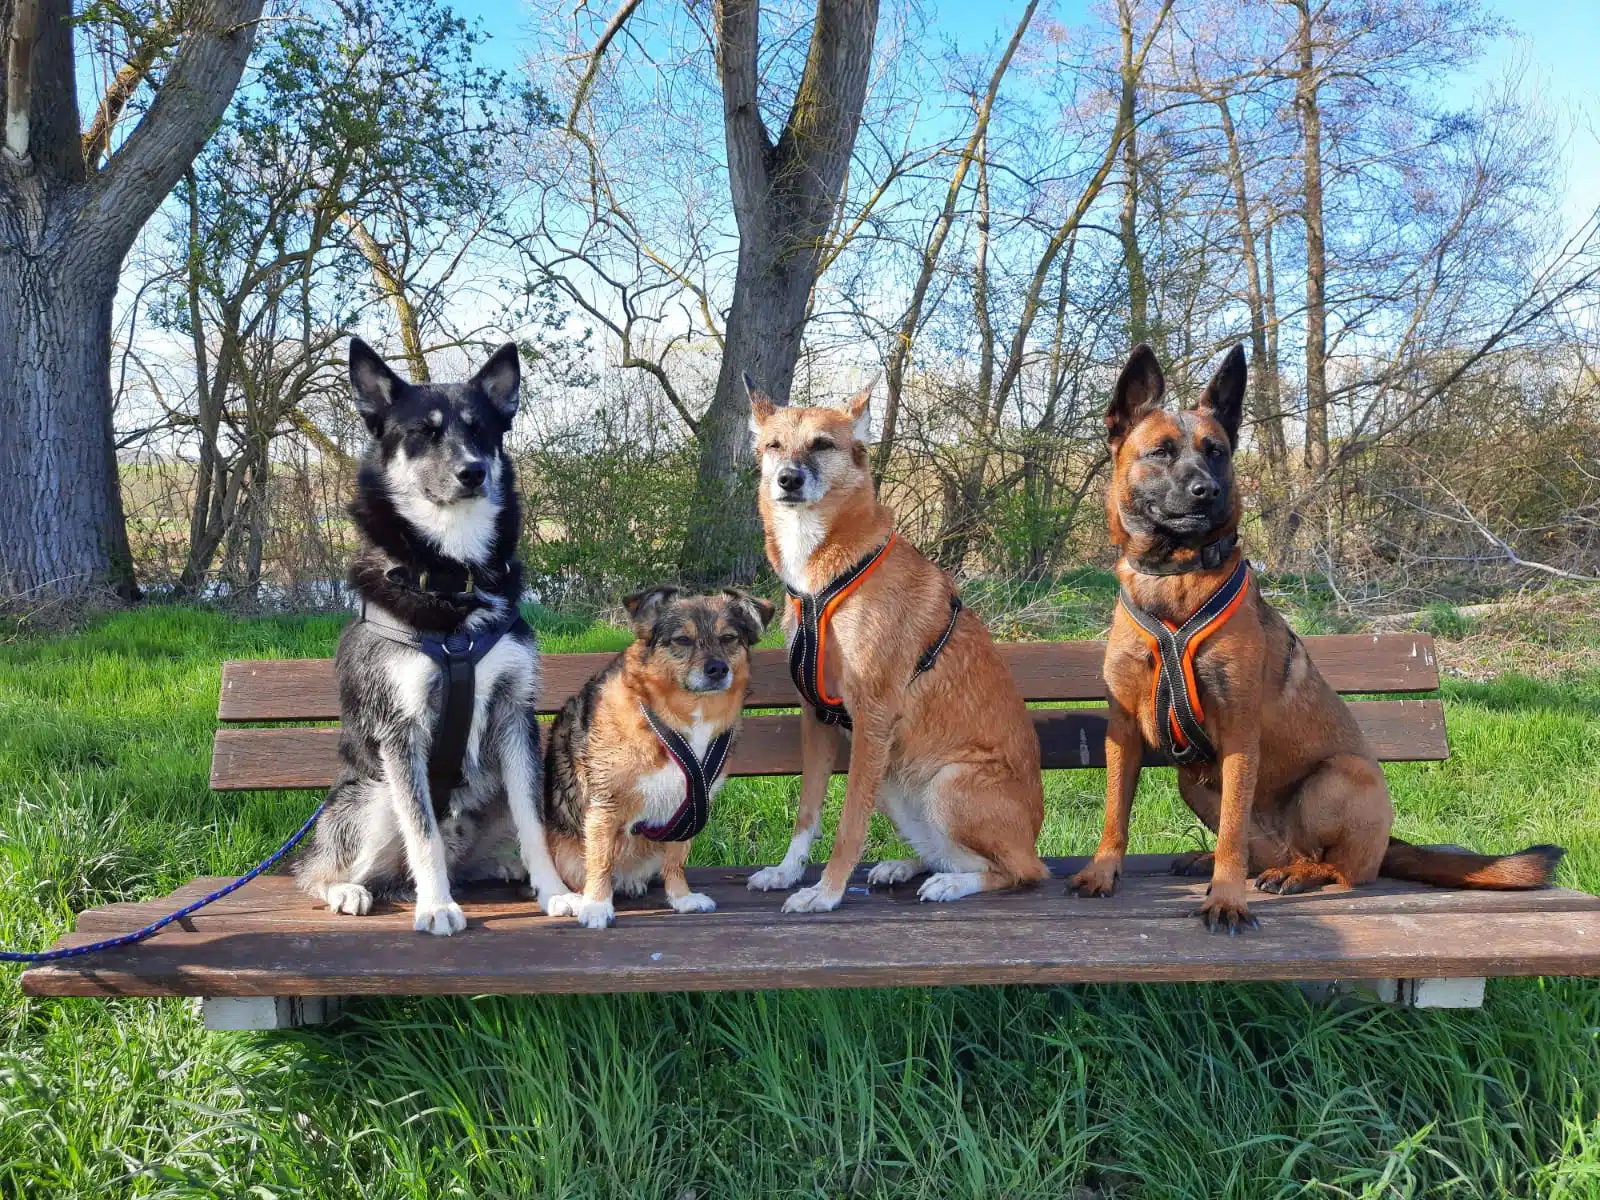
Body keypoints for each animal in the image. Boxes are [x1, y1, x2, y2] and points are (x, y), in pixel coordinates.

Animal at [294, 339, 576, 940]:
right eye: (423, 432)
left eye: (481, 430)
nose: (473, 472)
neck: (453, 578)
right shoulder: (400, 731)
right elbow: (422, 831)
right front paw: (437, 906)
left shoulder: (515, 714)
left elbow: (535, 823)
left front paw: (555, 890)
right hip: (374, 792)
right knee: (320, 869)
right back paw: (348, 889)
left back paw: (502, 867)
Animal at [540, 588, 771, 934]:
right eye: (682, 640)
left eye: (729, 637)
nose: (717, 669)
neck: (681, 718)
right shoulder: (604, 806)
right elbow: (600, 861)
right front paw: (597, 905)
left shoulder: (690, 807)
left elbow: (676, 859)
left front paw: (681, 898)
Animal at [745, 376, 1049, 908]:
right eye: (773, 446)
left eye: (822, 445)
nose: (787, 480)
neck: (821, 576)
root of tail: (1032, 834)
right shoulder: (816, 719)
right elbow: (807, 812)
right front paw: (787, 872)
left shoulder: (871, 717)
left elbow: (849, 825)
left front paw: (826, 892)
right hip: (894, 783)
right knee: (951, 853)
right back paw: (906, 866)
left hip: (947, 783)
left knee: (1019, 870)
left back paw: (952, 883)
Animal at [1062, 342, 1561, 934]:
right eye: (1160, 452)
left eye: (1217, 452)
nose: (1208, 491)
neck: (1174, 580)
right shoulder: (1124, 732)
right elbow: (1116, 812)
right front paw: (1103, 872)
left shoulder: (1238, 733)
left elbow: (1232, 835)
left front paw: (1226, 899)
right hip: (1196, 783)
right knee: (1262, 850)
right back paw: (1231, 862)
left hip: (1336, 777)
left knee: (1339, 868)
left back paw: (1298, 874)